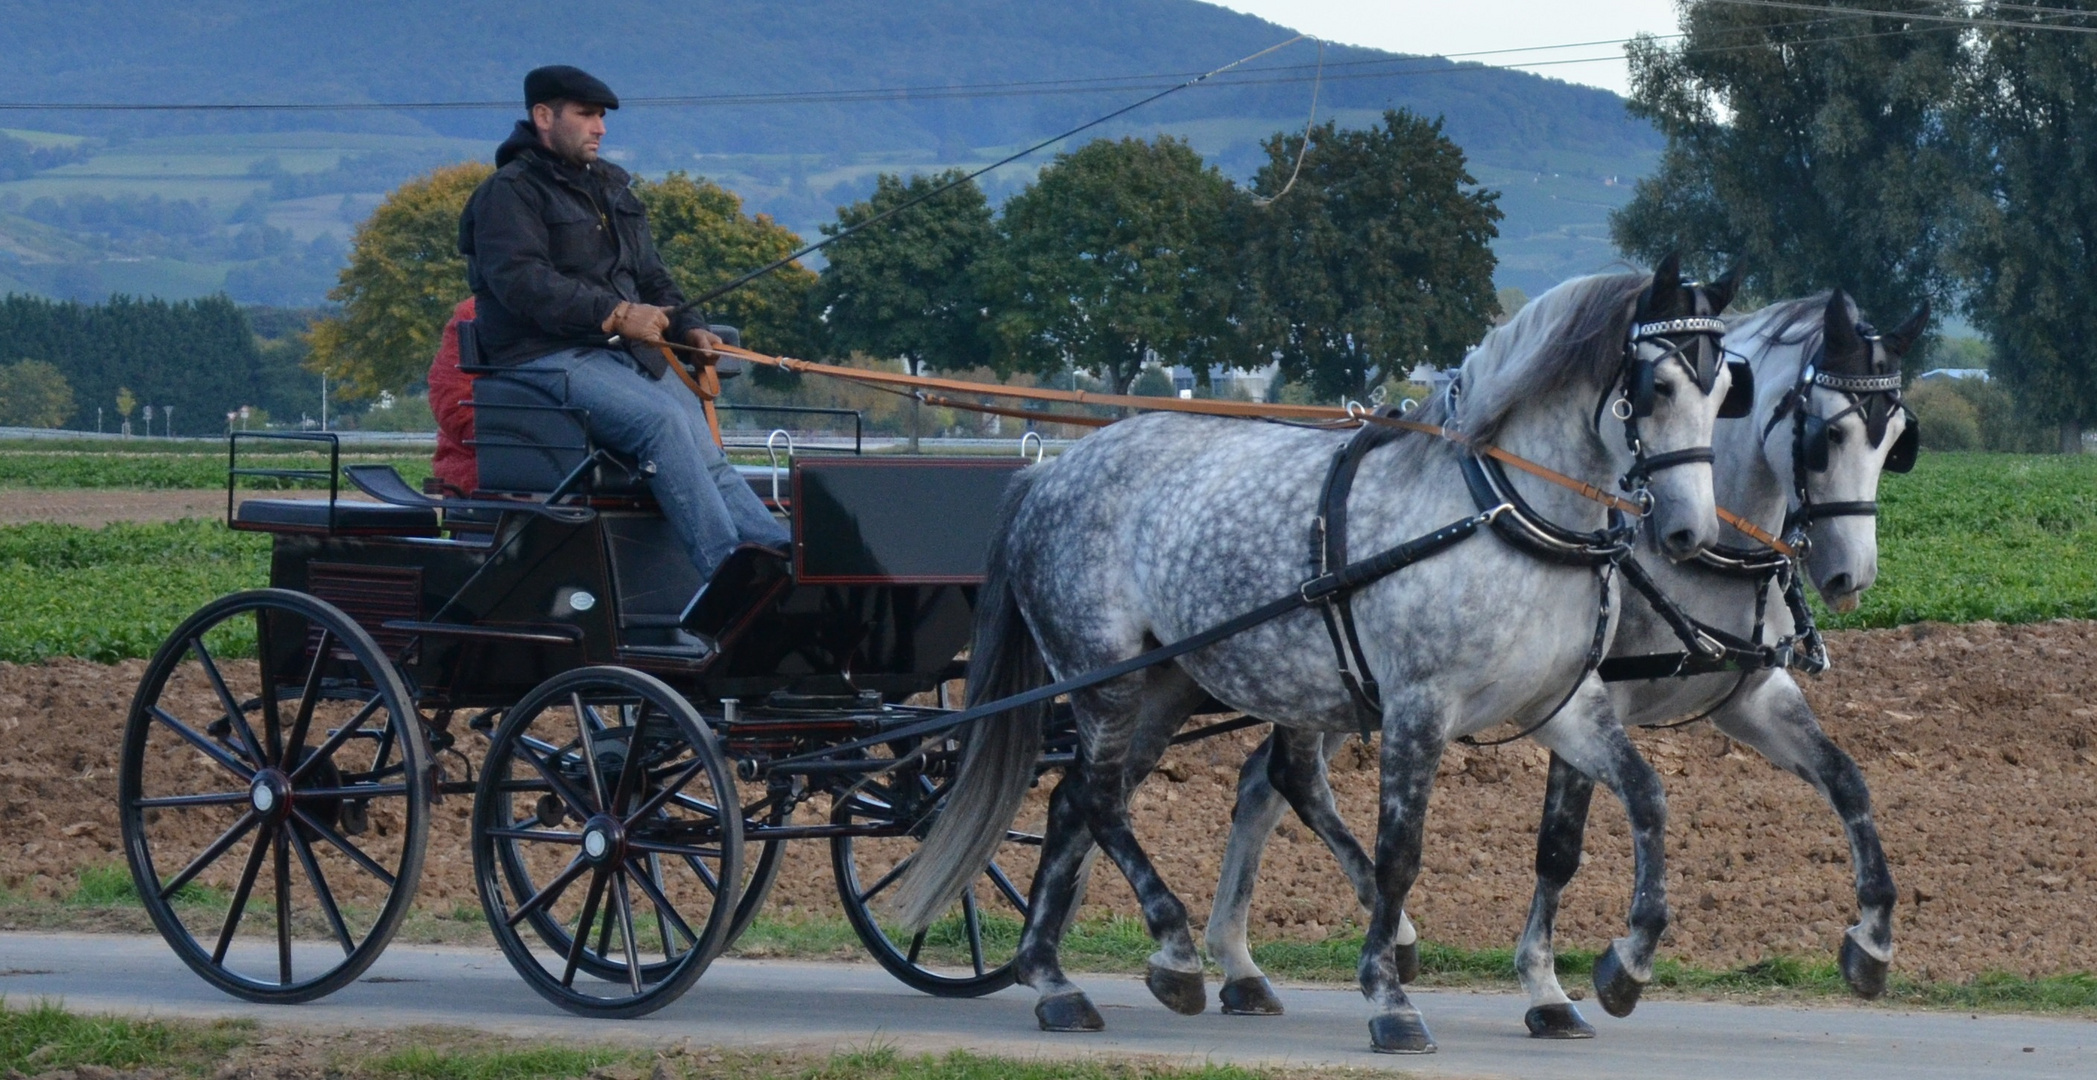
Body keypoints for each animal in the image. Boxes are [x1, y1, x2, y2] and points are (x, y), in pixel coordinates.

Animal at [880, 264, 1736, 1056]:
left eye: (1726, 387)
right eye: (1657, 385)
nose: (1689, 532)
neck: (1503, 515)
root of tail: (1048, 471)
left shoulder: (1561, 706)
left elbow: (1644, 798)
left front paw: (1624, 964)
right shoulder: (1417, 708)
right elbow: (1398, 856)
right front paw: (1388, 997)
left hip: (1161, 688)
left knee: (1074, 804)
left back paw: (1055, 980)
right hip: (1105, 680)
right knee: (1100, 802)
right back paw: (1173, 950)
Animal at [1207, 287, 1920, 1040]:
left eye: (1895, 439)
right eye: (1826, 435)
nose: (1850, 576)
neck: (1696, 550)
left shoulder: (1751, 697)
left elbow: (1846, 781)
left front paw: (1872, 940)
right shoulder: (1584, 694)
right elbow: (1559, 845)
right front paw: (1556, 984)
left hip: (1337, 689)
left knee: (1263, 783)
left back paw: (1239, 964)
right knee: (1291, 778)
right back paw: (1371, 939)